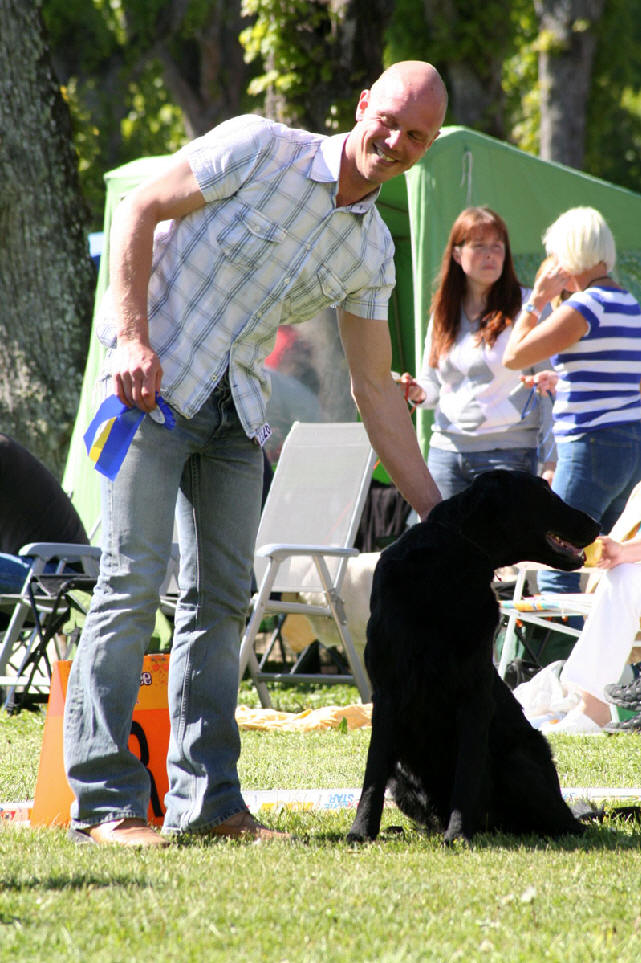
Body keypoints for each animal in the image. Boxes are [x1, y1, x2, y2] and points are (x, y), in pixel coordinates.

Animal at [348, 470, 596, 848]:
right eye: (544, 492)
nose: (597, 524)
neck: (454, 554)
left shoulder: (474, 693)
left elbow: (467, 773)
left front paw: (458, 835)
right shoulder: (387, 692)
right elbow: (372, 776)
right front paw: (361, 832)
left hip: (517, 760)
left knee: (561, 824)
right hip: (402, 775)